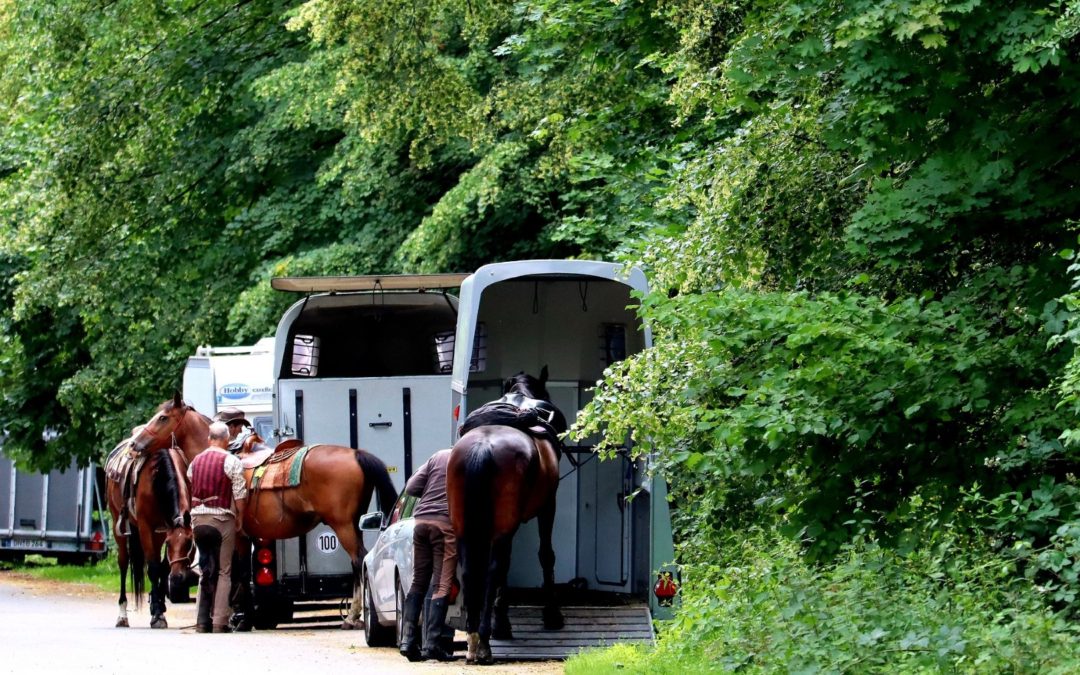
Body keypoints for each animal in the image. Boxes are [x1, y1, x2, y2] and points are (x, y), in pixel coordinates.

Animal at [108, 440, 197, 630]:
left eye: (189, 543)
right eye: (170, 544)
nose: (178, 577)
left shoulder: (163, 530)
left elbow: (163, 567)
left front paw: (159, 606)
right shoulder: (147, 528)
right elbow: (154, 568)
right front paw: (157, 615)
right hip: (118, 524)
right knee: (123, 562)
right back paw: (122, 615)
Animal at [126, 393, 397, 630]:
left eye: (162, 417)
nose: (134, 444)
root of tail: (356, 454)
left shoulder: (237, 536)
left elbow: (238, 572)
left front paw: (241, 618)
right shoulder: (249, 536)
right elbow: (243, 573)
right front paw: (239, 616)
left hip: (343, 525)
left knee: (358, 560)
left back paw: (352, 617)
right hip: (355, 523)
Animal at [444, 369, 565, 665]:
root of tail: (482, 447)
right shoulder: (548, 505)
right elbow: (545, 555)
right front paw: (551, 614)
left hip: (465, 526)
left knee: (472, 570)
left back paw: (475, 636)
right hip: (503, 526)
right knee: (494, 568)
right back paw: (485, 640)